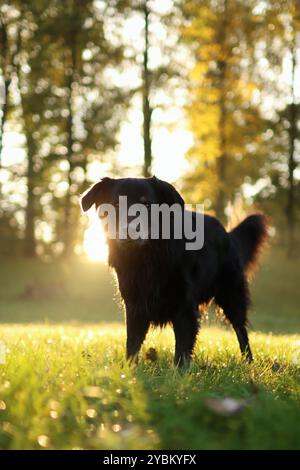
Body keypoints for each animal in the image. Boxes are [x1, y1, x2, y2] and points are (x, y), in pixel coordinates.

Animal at [81, 178, 268, 366]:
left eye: (147, 205)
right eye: (117, 204)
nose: (130, 230)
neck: (147, 257)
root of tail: (227, 234)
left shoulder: (184, 305)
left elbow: (183, 346)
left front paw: (180, 372)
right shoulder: (134, 305)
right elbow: (132, 343)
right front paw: (130, 368)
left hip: (231, 295)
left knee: (240, 329)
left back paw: (248, 362)